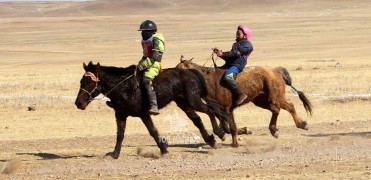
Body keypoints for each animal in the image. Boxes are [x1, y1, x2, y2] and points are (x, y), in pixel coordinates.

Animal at [76, 61, 219, 159]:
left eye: (89, 82)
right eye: (81, 81)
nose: (78, 103)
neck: (123, 87)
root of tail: (190, 71)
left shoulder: (144, 114)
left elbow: (152, 131)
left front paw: (164, 149)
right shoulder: (120, 114)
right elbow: (120, 134)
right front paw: (115, 154)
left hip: (193, 100)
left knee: (210, 110)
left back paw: (219, 133)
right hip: (183, 102)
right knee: (197, 119)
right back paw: (211, 140)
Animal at [177, 56, 314, 148]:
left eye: (180, 70)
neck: (210, 82)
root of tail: (275, 71)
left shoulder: (226, 109)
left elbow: (231, 127)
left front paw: (235, 143)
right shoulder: (221, 110)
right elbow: (227, 127)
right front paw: (243, 132)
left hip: (275, 97)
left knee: (289, 106)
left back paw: (302, 124)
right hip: (261, 101)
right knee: (276, 110)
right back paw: (274, 130)